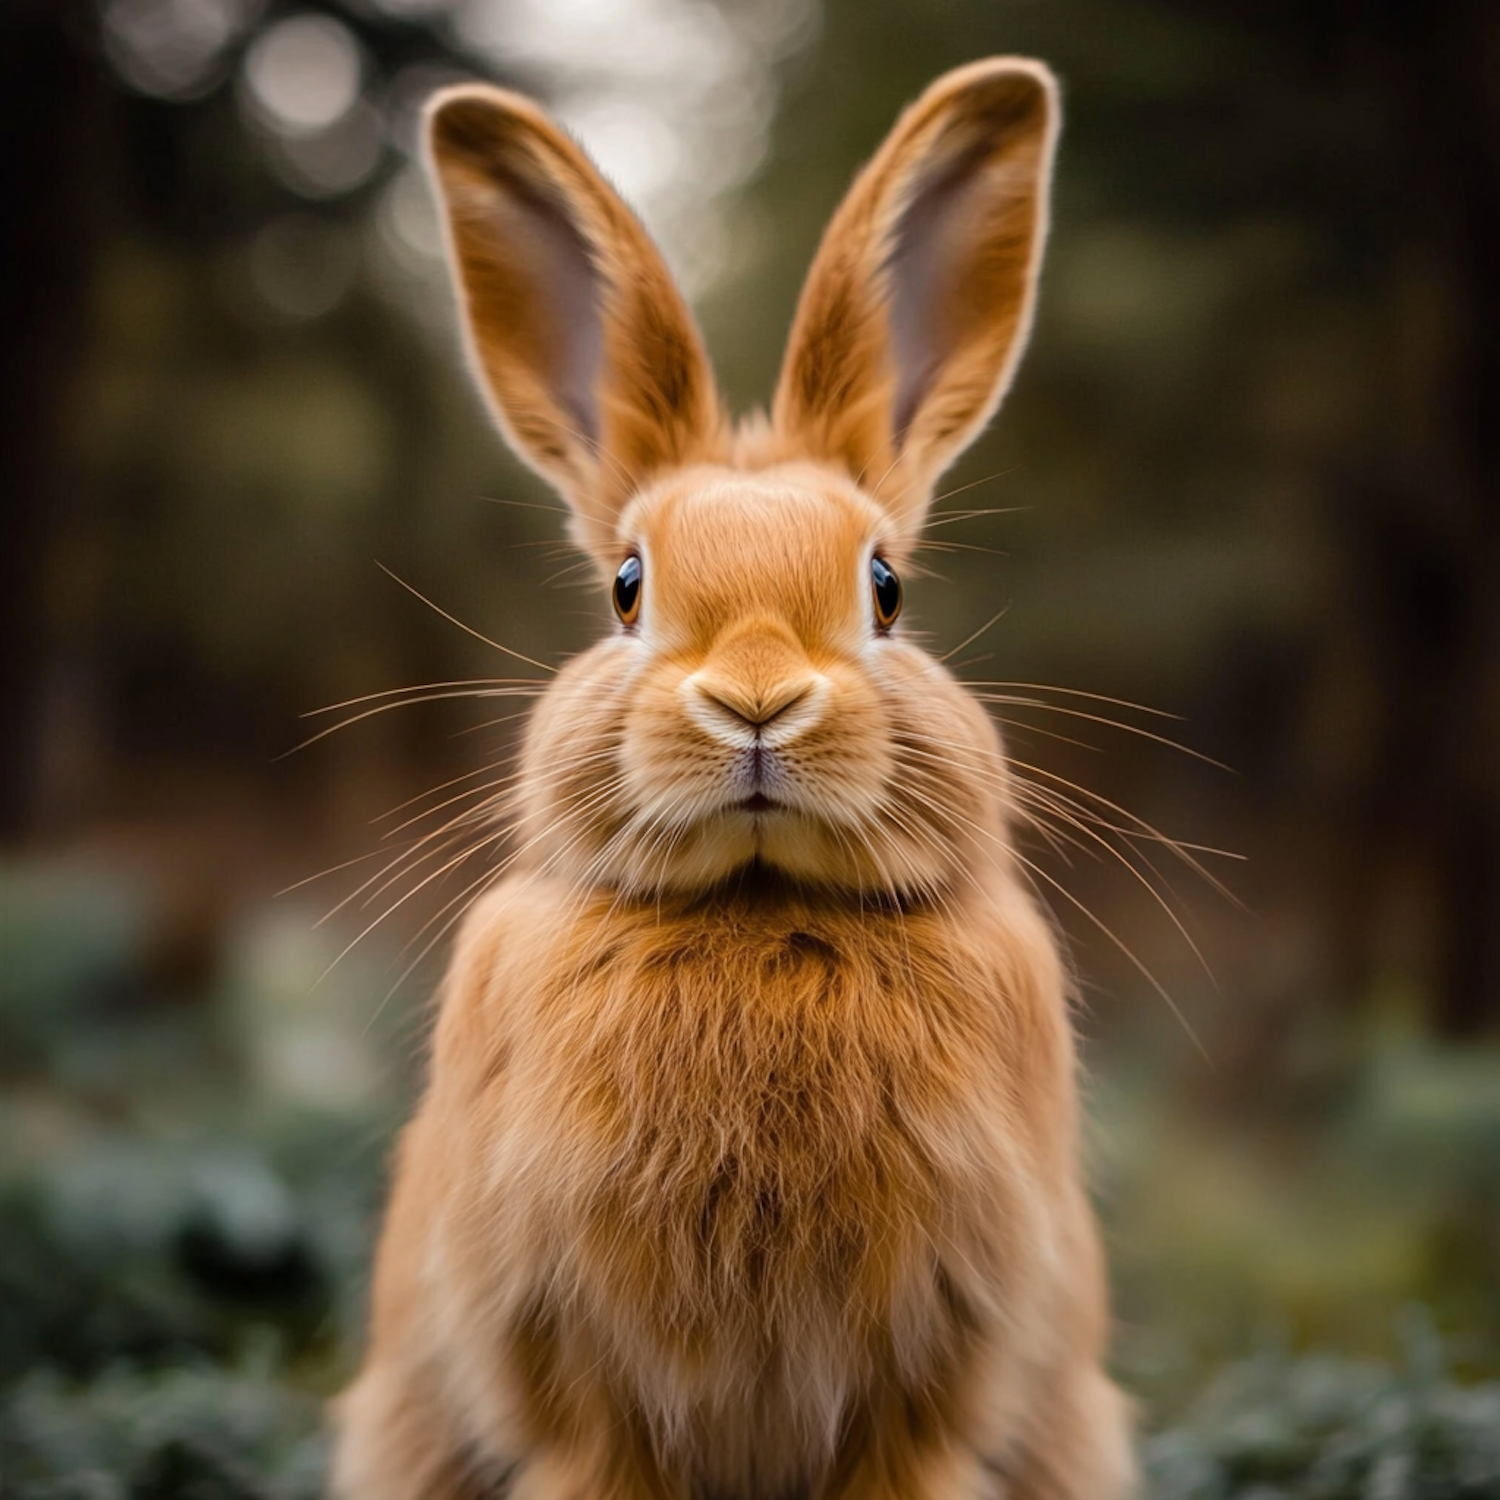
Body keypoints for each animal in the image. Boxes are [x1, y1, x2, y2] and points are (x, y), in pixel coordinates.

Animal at [331, 52, 1134, 1500]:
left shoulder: (928, 1386)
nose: (756, 699)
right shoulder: (582, 1393)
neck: (760, 910)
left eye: (887, 588)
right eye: (626, 587)